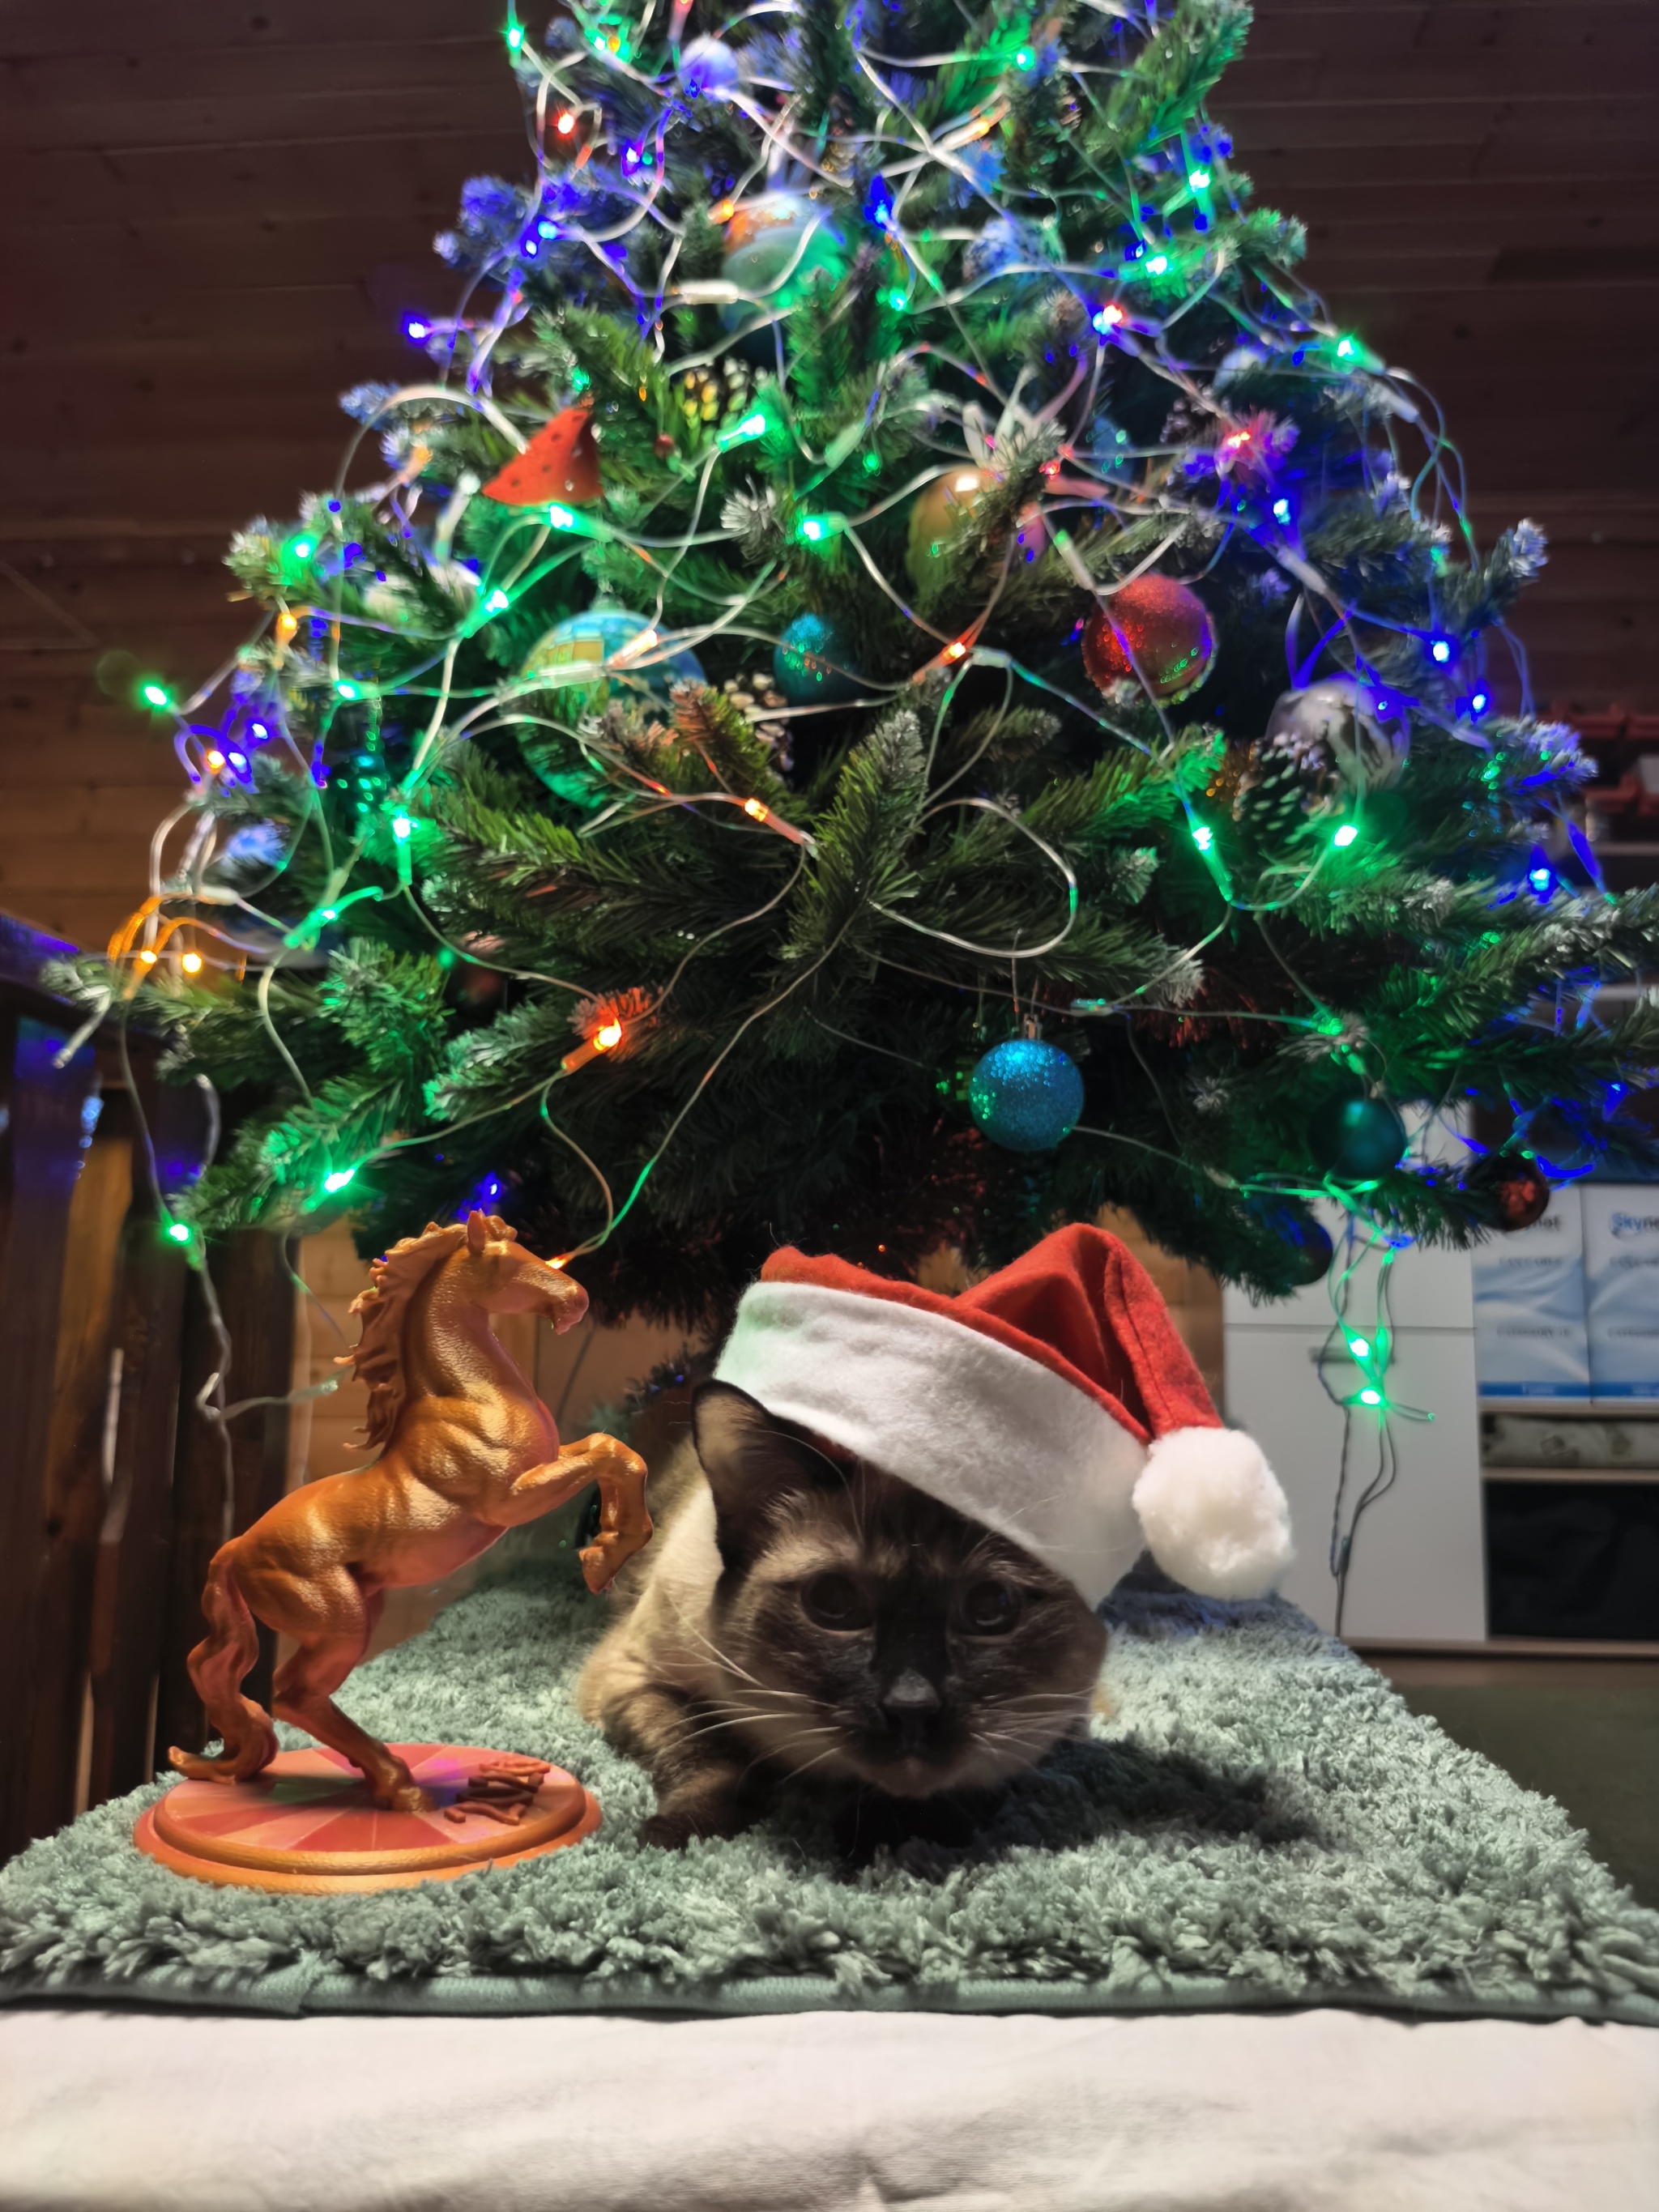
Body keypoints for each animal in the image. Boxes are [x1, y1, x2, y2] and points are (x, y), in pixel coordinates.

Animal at [577, 1380, 1108, 1849]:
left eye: (991, 1607)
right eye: (833, 1603)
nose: (911, 1705)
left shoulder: (1048, 1721)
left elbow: (956, 1787)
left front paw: (886, 1841)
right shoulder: (632, 1676)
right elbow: (710, 1756)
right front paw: (676, 1835)